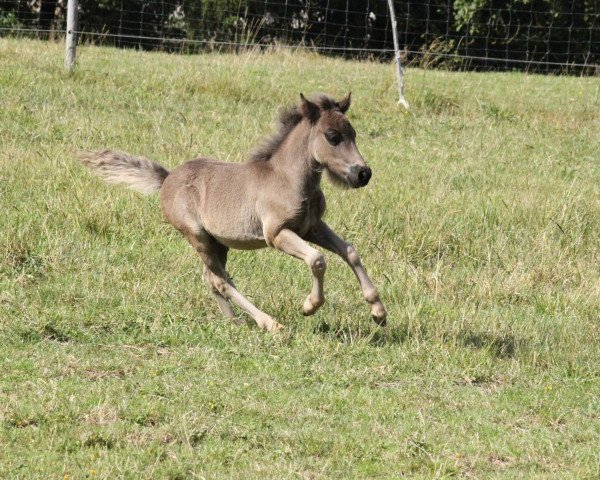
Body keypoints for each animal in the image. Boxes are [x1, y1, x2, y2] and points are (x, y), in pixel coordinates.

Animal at [79, 94, 386, 334]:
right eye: (333, 137)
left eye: (354, 134)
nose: (363, 173)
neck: (287, 178)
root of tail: (166, 179)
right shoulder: (276, 234)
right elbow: (317, 260)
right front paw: (310, 306)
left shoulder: (312, 227)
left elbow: (350, 251)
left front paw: (378, 311)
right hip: (198, 237)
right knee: (219, 280)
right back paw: (270, 324)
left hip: (219, 243)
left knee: (215, 279)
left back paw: (234, 321)